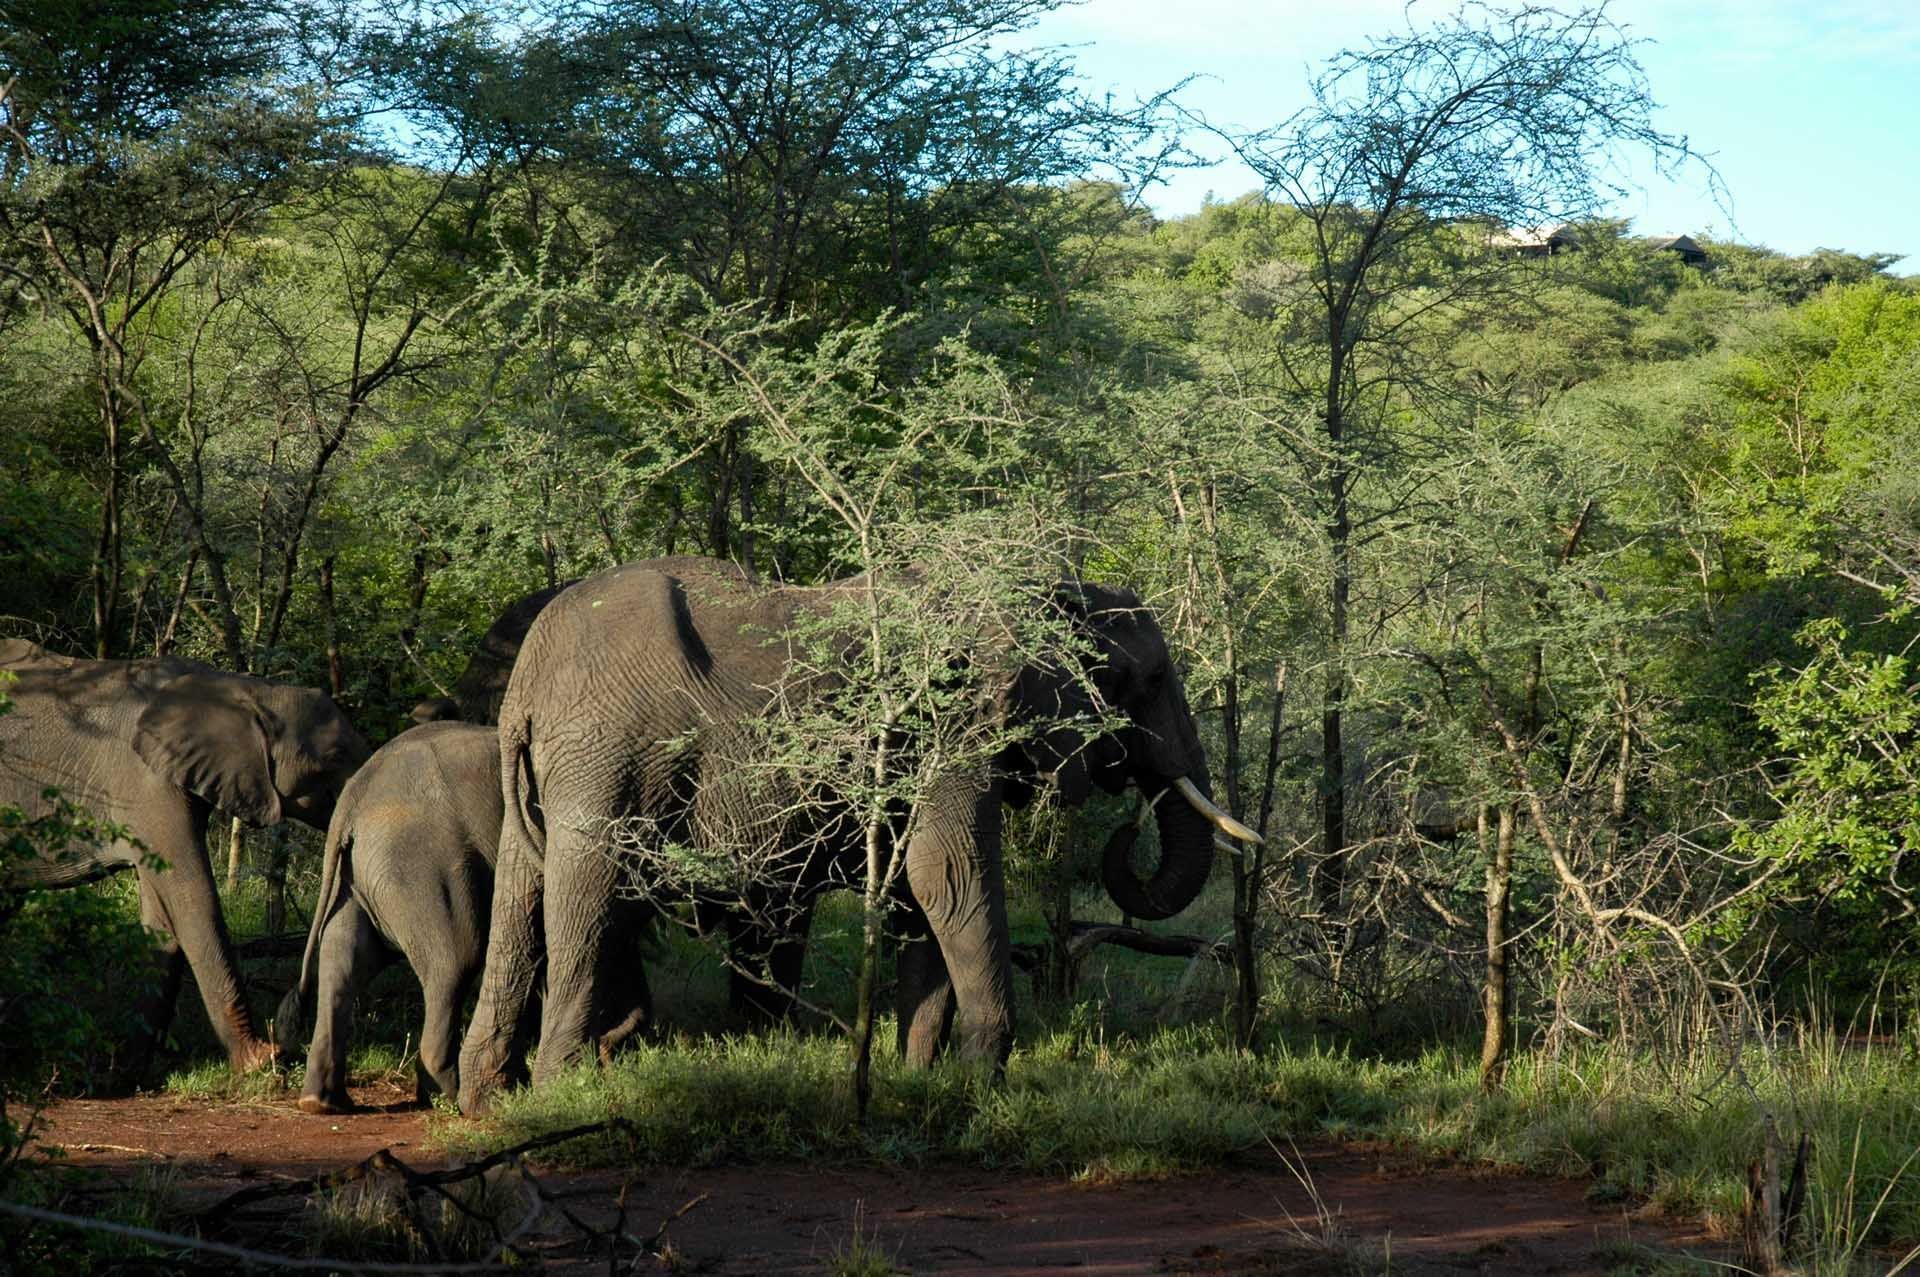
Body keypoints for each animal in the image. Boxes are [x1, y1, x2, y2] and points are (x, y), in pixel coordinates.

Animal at [0, 642, 370, 1072]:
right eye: (337, 754)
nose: (288, 1031)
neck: (245, 689)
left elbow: (163, 919)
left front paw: (128, 1070)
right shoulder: (148, 786)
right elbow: (193, 903)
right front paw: (260, 1060)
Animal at [275, 721, 652, 1113]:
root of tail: (352, 803)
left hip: (355, 879)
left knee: (342, 964)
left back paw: (322, 1102)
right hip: (423, 871)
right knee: (455, 961)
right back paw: (449, 1096)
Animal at [455, 557, 1257, 1113]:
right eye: (1144, 678)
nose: (1129, 814)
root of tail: (526, 684)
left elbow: (918, 895)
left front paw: (919, 1079)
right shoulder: (950, 730)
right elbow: (950, 874)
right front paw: (981, 1086)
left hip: (557, 770)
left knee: (520, 900)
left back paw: (487, 1098)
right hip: (608, 753)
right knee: (588, 901)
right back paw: (561, 1095)